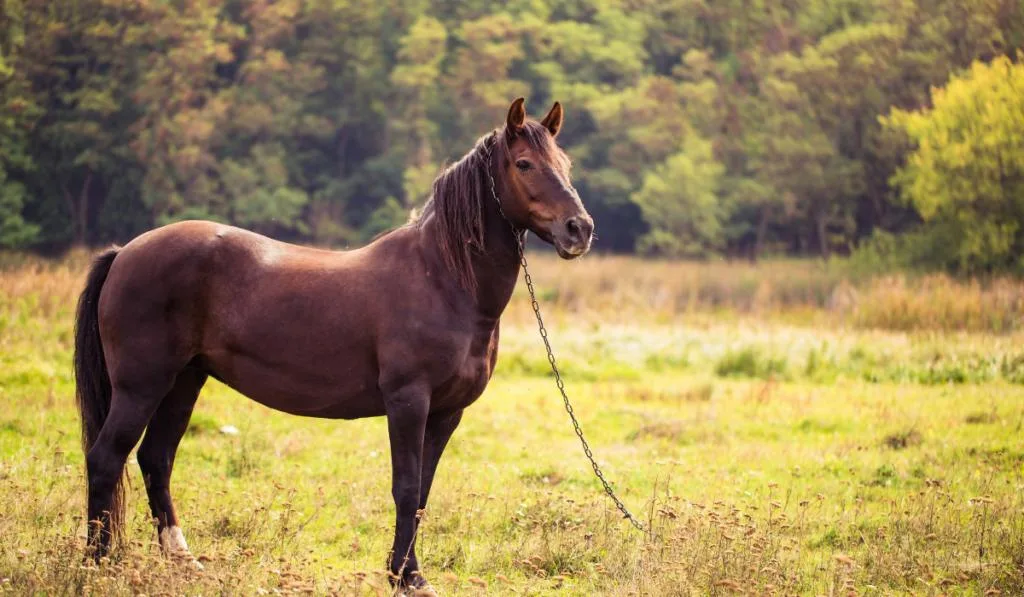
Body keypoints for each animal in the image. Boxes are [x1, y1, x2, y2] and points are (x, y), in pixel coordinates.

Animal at [74, 98, 593, 593]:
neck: (443, 279)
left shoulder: (447, 412)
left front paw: (409, 575)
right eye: (524, 164)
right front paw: (405, 578)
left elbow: (422, 495)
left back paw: (184, 563)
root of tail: (125, 252)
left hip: (184, 381)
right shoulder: (408, 402)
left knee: (155, 459)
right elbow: (406, 489)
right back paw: (97, 565)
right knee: (106, 459)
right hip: (142, 386)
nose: (580, 229)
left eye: (565, 162)